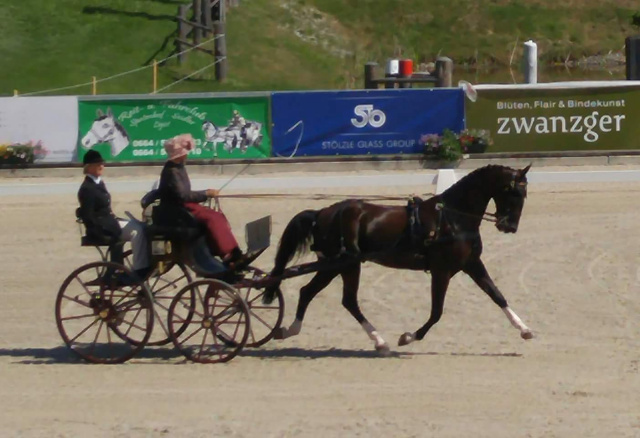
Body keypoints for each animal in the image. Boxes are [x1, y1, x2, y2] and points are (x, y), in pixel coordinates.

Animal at [262, 166, 532, 354]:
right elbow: (437, 312)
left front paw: (525, 329)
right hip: (345, 264)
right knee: (345, 300)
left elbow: (497, 296)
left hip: (336, 265)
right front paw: (409, 337)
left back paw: (290, 330)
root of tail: (322, 213)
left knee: (312, 293)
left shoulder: (471, 264)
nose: (510, 227)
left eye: (524, 194)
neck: (452, 217)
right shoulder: (441, 270)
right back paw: (379, 341)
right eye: (514, 192)